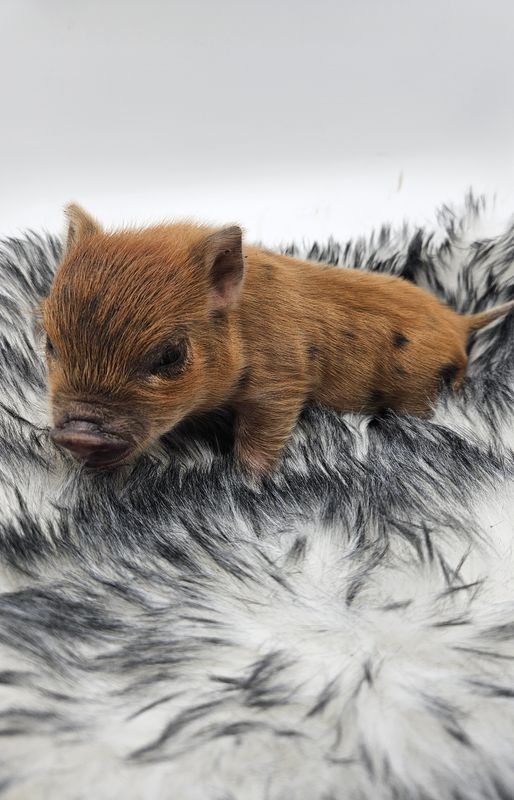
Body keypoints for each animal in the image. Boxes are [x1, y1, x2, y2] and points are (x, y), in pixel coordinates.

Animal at [42, 204, 514, 475]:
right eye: (49, 344)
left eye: (169, 356)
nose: (80, 433)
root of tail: (459, 322)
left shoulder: (282, 381)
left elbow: (262, 434)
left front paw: (249, 480)